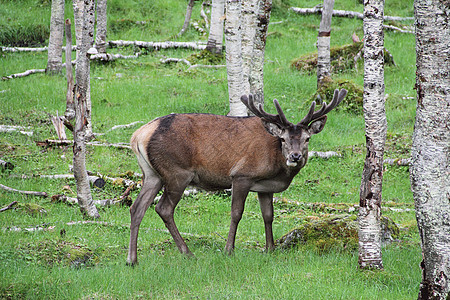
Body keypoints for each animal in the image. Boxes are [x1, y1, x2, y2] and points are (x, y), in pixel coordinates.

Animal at [126, 88, 348, 264]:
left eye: (307, 138)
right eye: (283, 139)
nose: (295, 156)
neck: (276, 165)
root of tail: (139, 135)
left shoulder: (265, 187)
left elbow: (268, 215)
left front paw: (270, 249)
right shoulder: (241, 175)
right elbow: (236, 213)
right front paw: (228, 250)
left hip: (152, 174)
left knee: (137, 207)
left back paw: (132, 259)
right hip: (177, 172)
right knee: (163, 208)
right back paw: (187, 253)